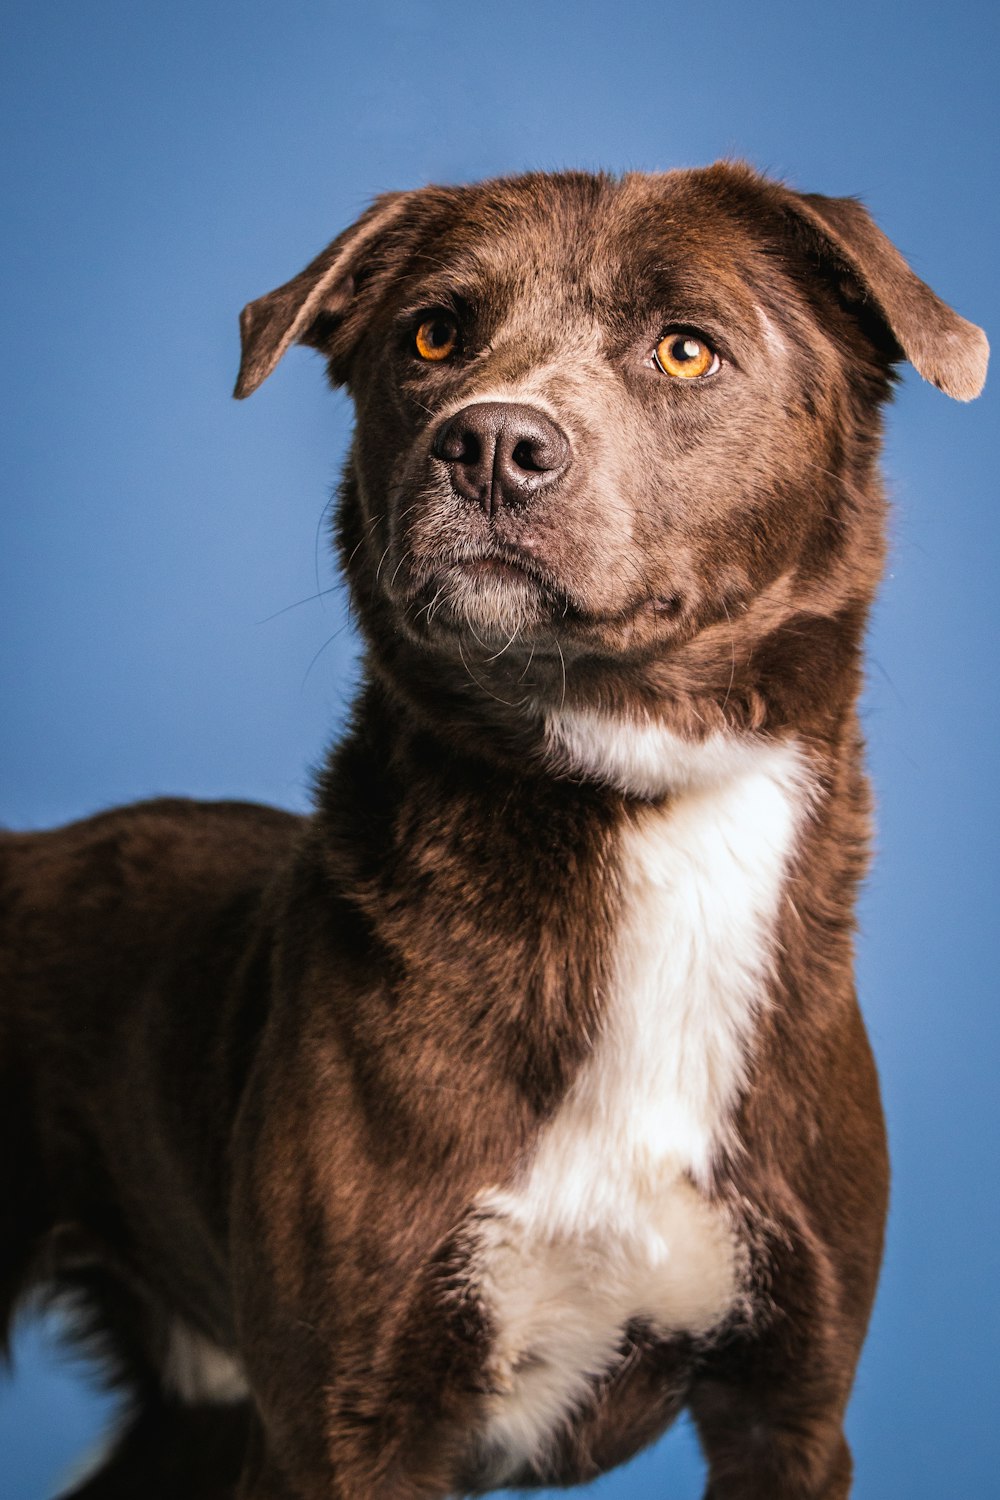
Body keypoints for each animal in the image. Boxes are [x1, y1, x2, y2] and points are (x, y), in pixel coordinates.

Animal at [0, 164, 983, 1500]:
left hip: (196, 1408)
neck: (634, 809)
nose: (490, 444)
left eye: (685, 350)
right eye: (431, 336)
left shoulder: (791, 1413)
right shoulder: (344, 1424)